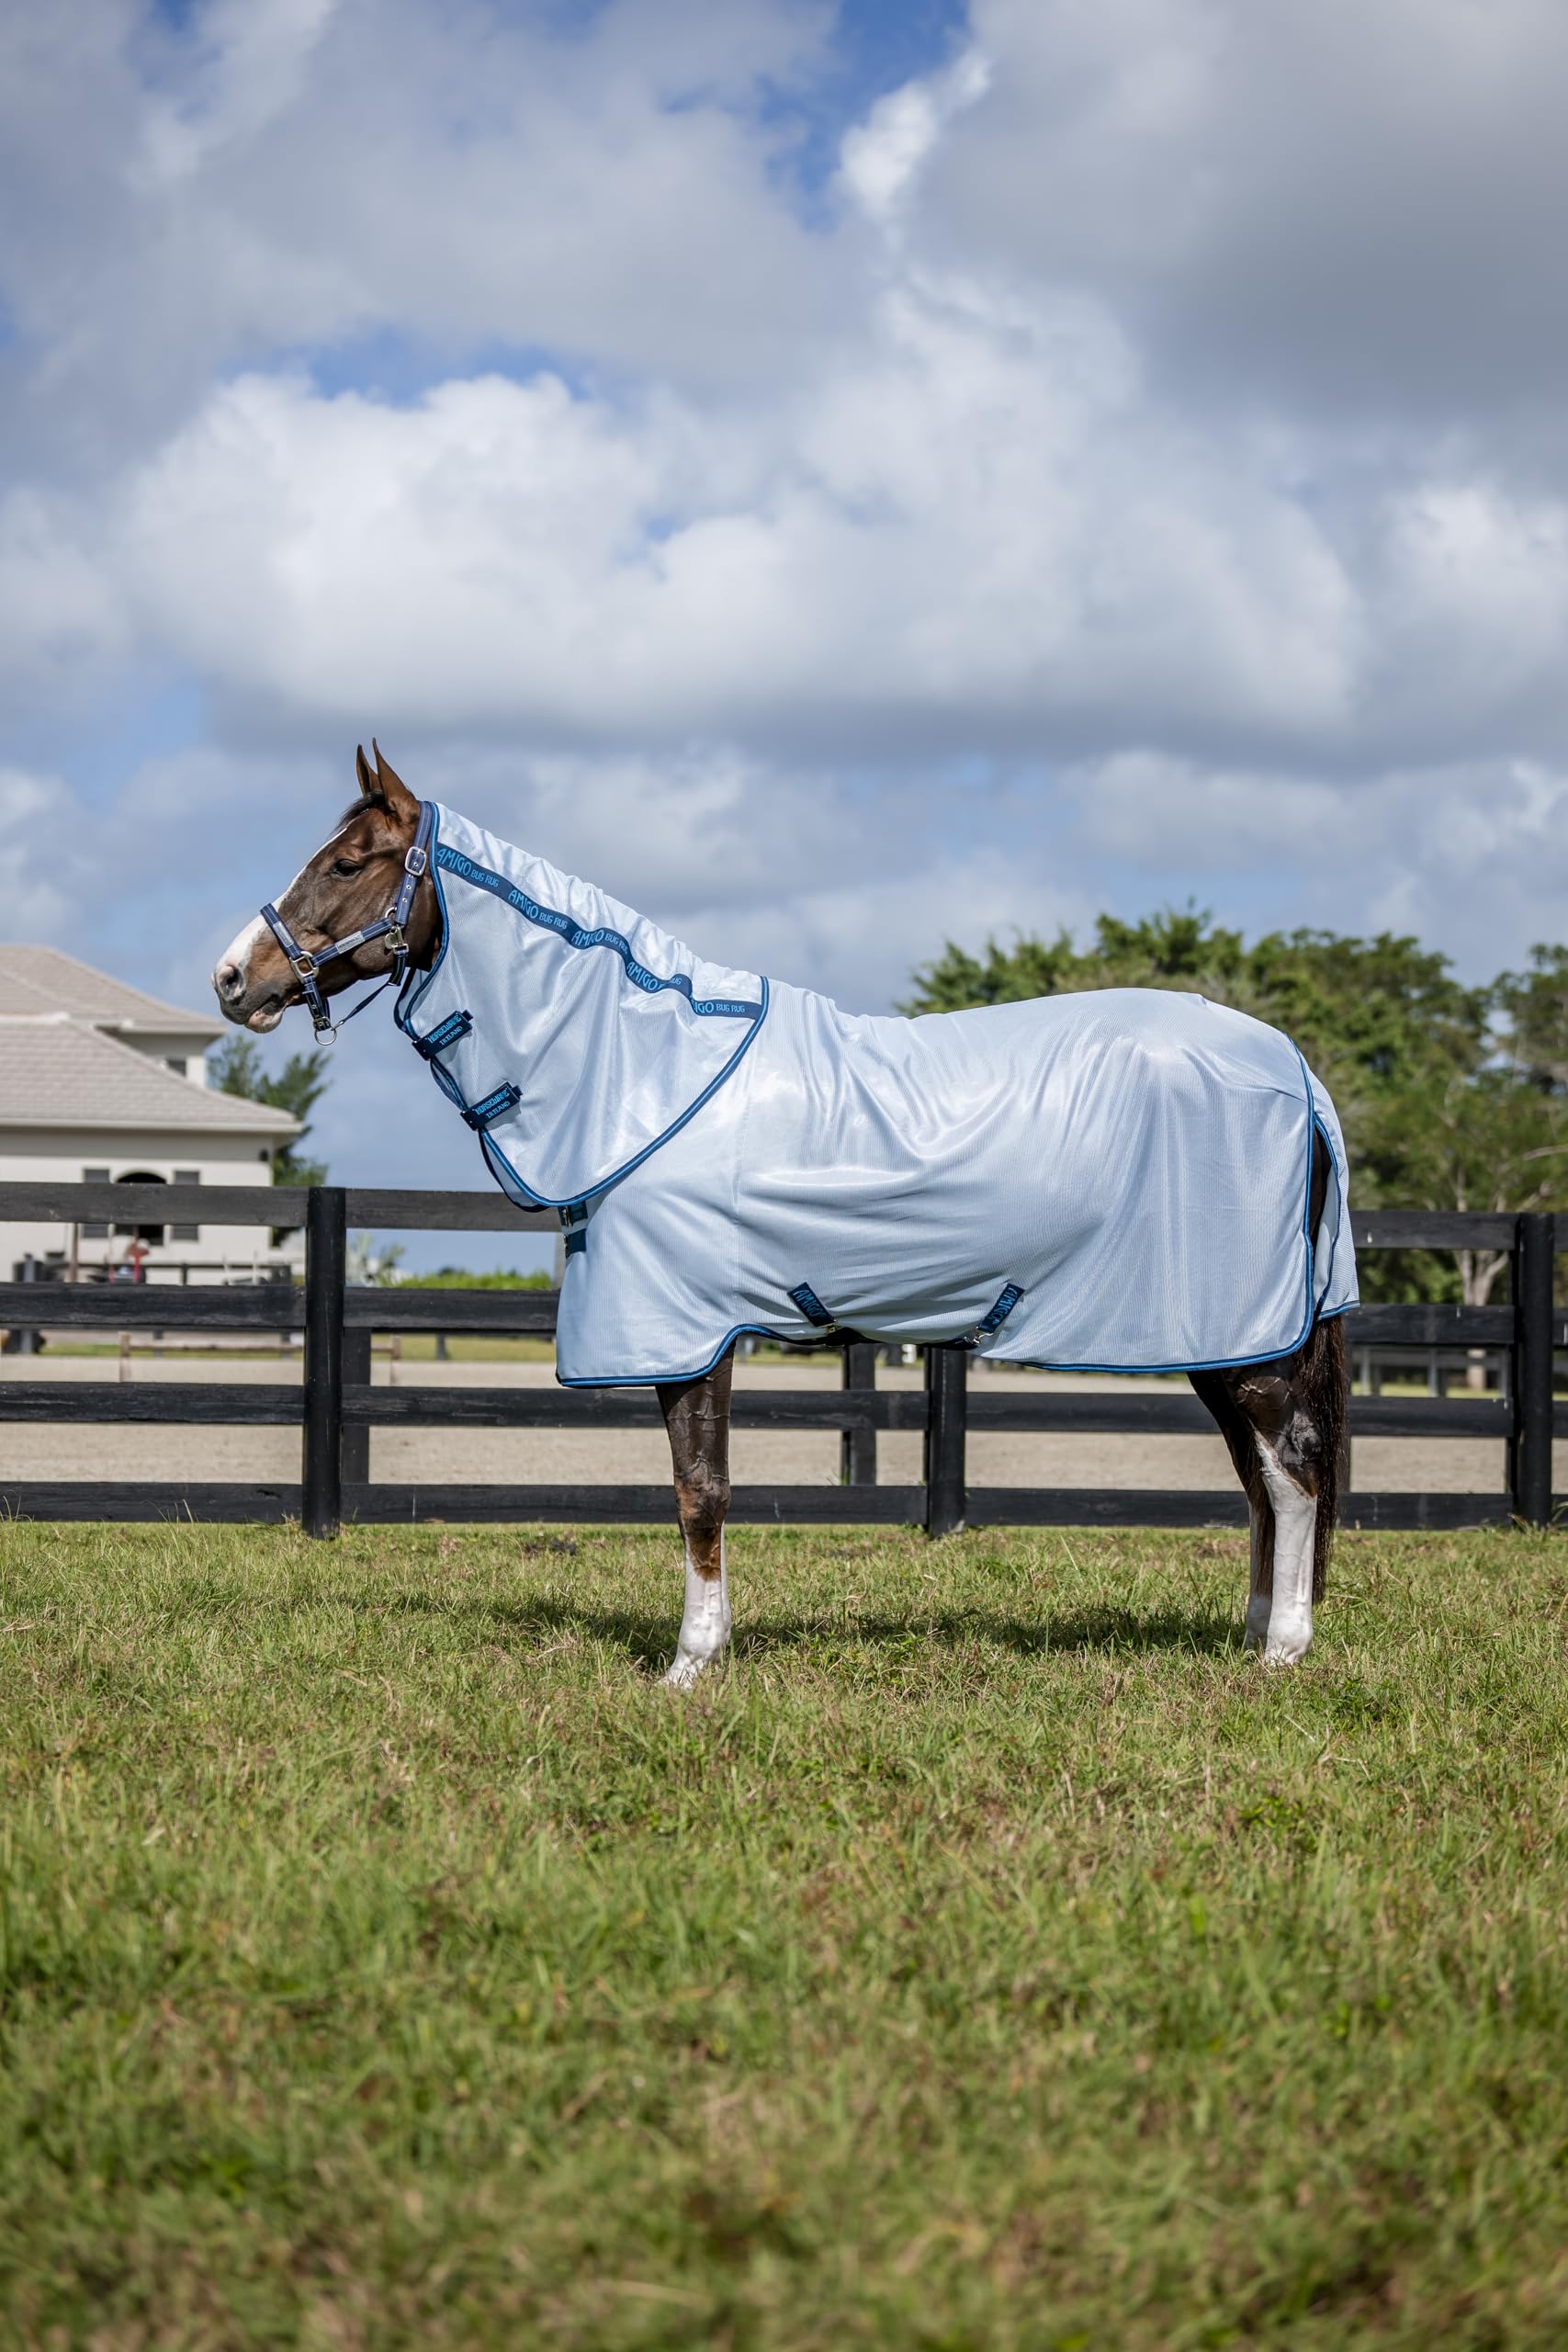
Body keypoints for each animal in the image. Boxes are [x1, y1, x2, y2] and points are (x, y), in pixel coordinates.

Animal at [214, 742, 1356, 1683]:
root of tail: (1294, 1070)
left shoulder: (688, 1331)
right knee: (1260, 1479)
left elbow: (700, 1490)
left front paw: (689, 1664)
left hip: (1241, 1341)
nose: (234, 977)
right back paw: (1253, 1631)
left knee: (1292, 1473)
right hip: (1226, 1339)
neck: (650, 1069)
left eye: (349, 862)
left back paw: (1284, 1649)